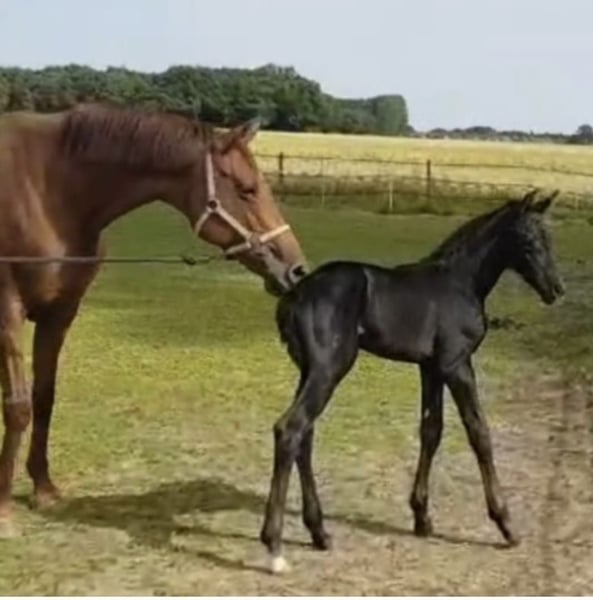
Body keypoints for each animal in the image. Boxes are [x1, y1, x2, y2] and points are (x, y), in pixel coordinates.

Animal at [0, 102, 308, 536]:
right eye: (247, 189)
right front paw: (4, 509)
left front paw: (43, 488)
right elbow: (18, 406)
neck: (49, 192)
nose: (296, 270)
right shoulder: (8, 312)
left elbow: (45, 397)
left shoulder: (60, 314)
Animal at [259, 189, 565, 573]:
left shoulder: (430, 368)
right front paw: (506, 523)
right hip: (329, 369)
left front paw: (422, 518)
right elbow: (479, 433)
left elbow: (431, 430)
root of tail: (294, 295)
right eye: (528, 239)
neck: (459, 282)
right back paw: (274, 545)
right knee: (290, 428)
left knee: (305, 434)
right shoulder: (456, 364)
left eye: (548, 237)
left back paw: (319, 533)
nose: (556, 289)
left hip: (310, 371)